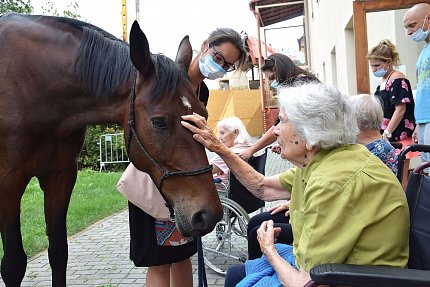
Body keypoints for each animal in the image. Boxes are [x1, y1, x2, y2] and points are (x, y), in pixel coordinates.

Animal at [0, 12, 222, 286]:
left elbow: (58, 252)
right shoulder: (8, 183)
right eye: (159, 122)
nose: (208, 214)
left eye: (203, 115)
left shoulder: (60, 177)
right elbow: (13, 264)